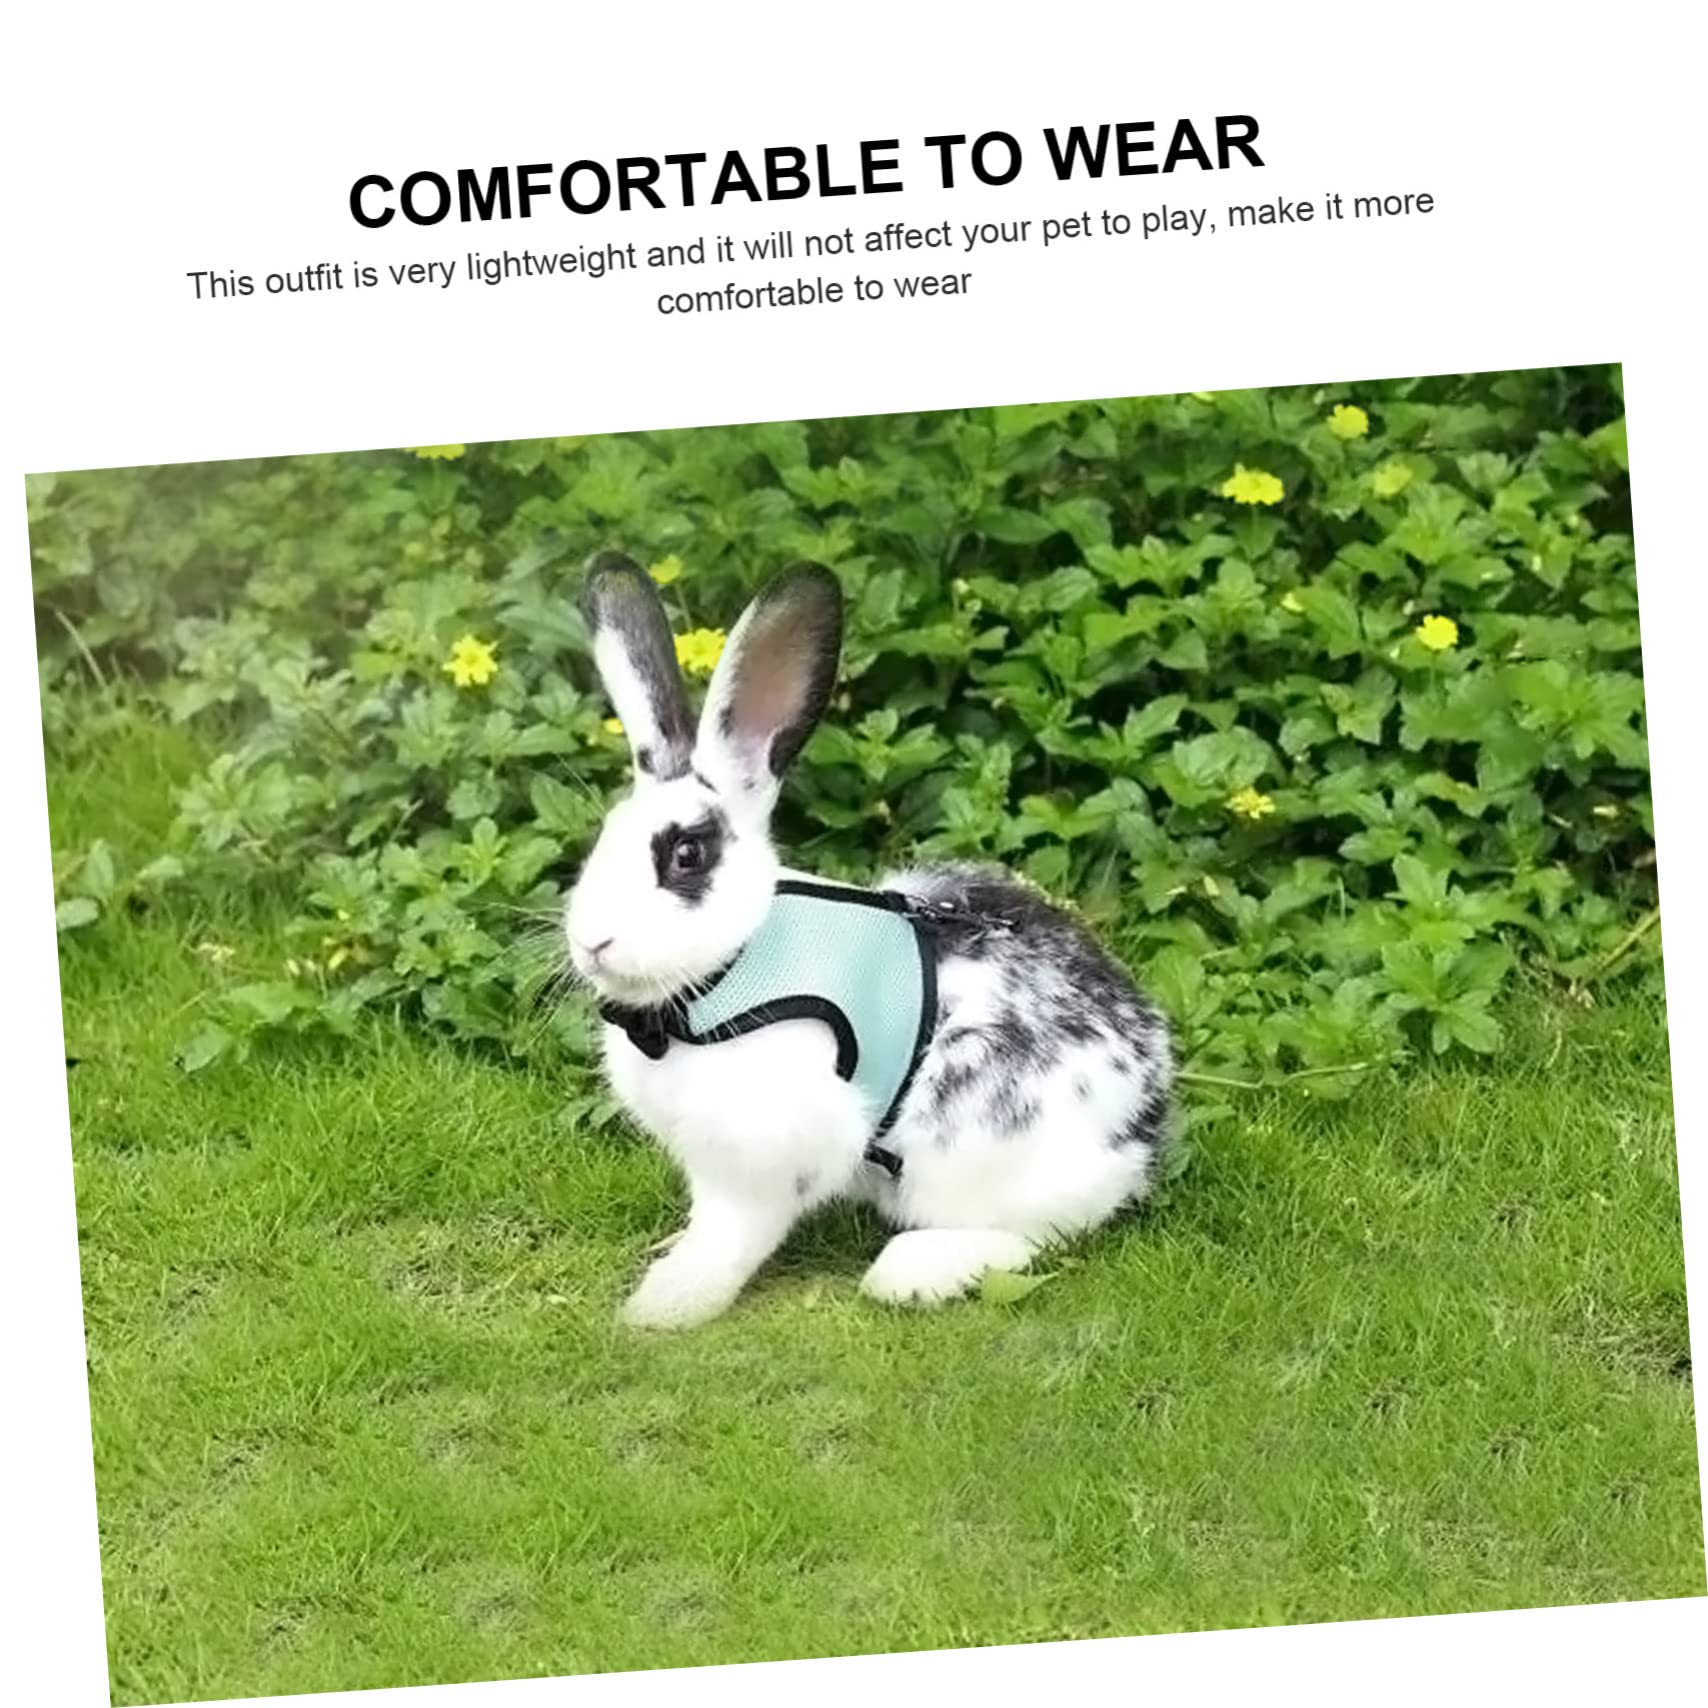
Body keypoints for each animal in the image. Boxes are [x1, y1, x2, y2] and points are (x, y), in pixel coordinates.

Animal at [564, 551, 1174, 1328]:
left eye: (686, 856)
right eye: (604, 839)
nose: (592, 942)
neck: (725, 976)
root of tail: (1143, 1128)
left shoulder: (767, 1160)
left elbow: (731, 1235)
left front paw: (664, 1306)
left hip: (975, 1157)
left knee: (1035, 1236)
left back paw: (913, 1272)